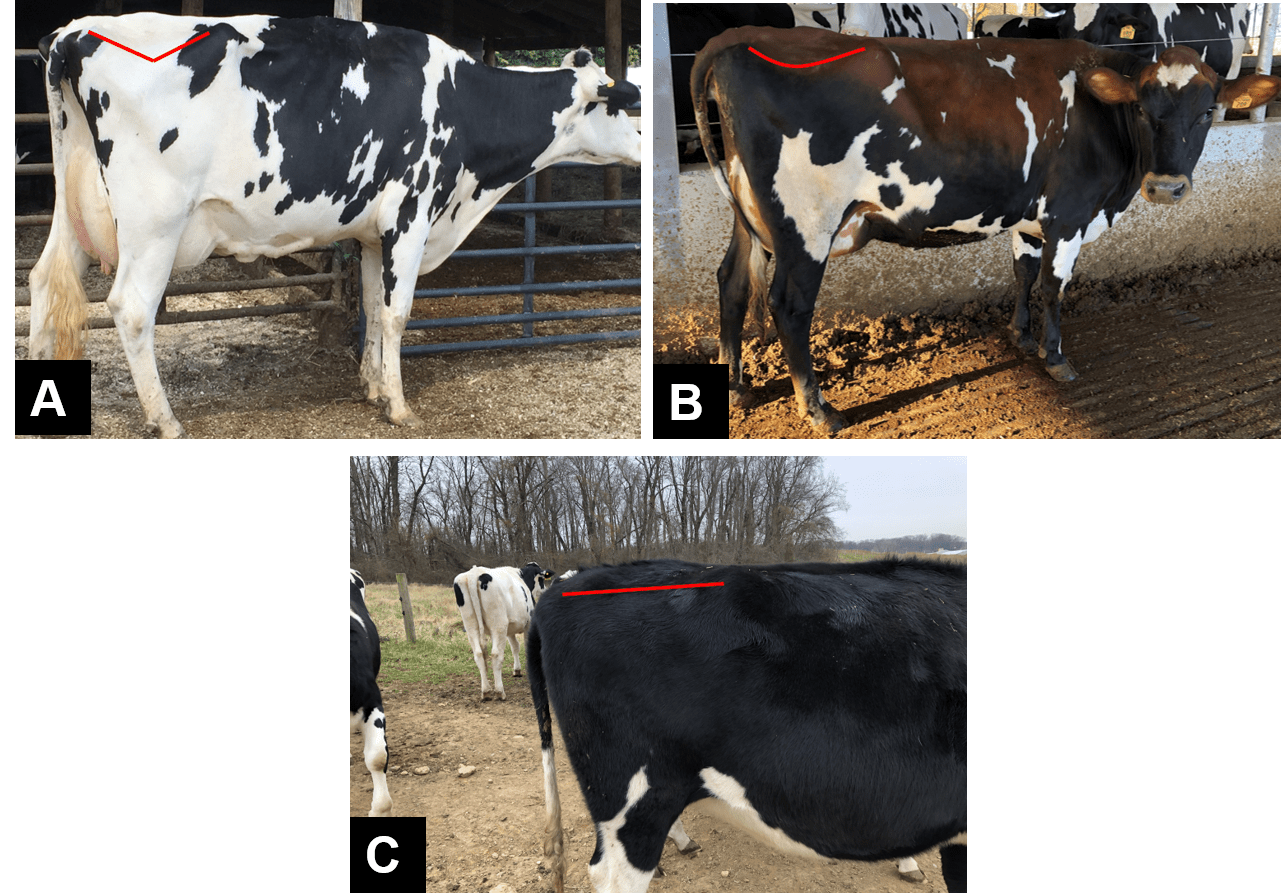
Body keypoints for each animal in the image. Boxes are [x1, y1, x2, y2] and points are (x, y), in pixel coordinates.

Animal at [29, 13, 641, 438]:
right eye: (624, 106)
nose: (646, 150)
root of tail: (73, 32)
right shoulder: (410, 215)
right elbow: (396, 313)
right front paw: (398, 406)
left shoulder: (372, 233)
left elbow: (371, 304)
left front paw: (372, 387)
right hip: (154, 222)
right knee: (131, 308)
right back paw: (165, 420)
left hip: (73, 208)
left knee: (42, 283)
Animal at [452, 562, 553, 701]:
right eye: (542, 579)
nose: (544, 591)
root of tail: (474, 573)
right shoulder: (527, 624)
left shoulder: (509, 629)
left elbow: (515, 647)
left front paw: (517, 670)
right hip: (499, 624)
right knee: (496, 655)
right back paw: (500, 691)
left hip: (471, 625)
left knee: (478, 654)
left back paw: (486, 691)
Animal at [692, 27, 1281, 435]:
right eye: (1141, 107)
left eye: (1208, 111)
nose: (1165, 187)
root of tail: (740, 36)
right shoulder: (1069, 214)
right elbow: (1053, 287)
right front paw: (1055, 358)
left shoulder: (1030, 215)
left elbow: (1022, 272)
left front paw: (1019, 335)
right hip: (806, 225)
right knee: (789, 306)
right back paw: (819, 411)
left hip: (748, 213)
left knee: (731, 283)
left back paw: (736, 387)